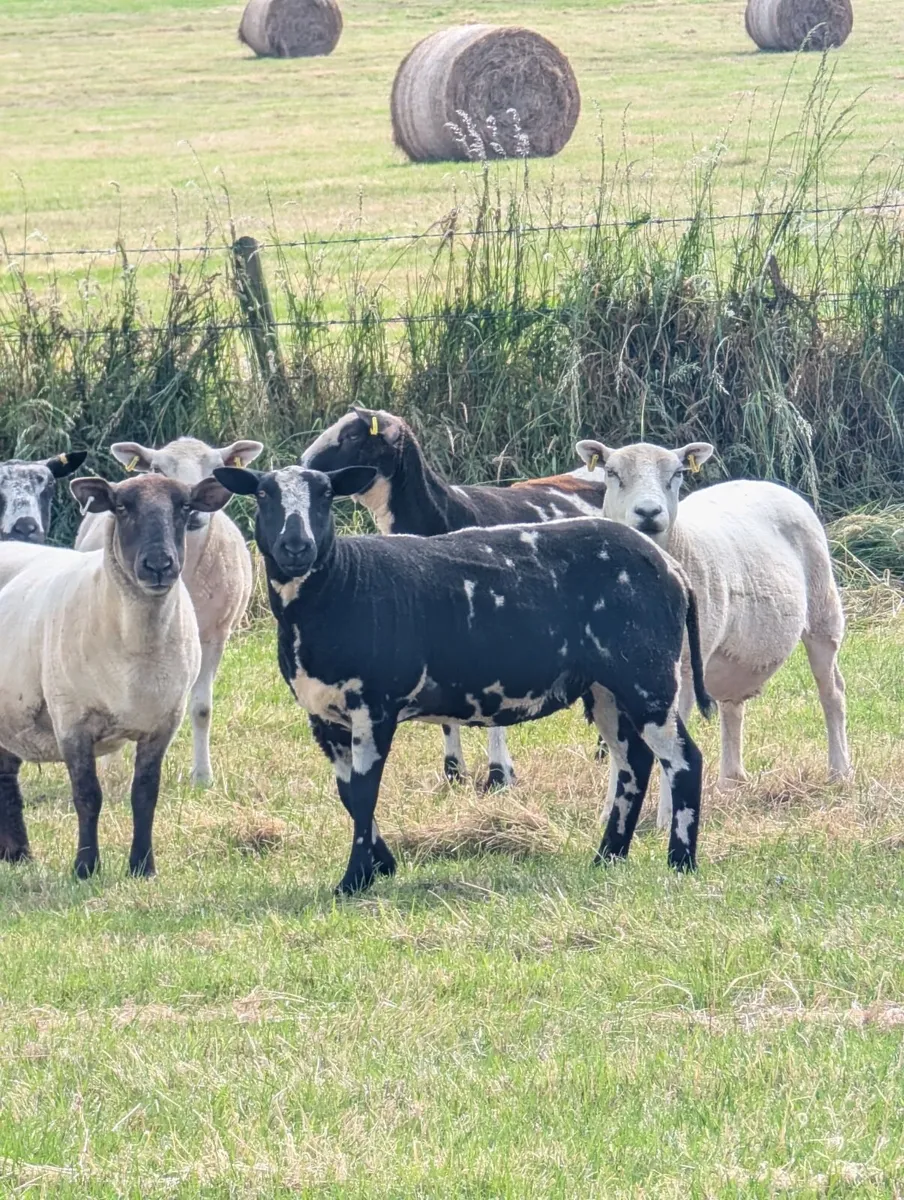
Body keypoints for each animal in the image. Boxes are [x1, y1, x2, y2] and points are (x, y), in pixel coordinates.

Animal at [0, 473, 231, 876]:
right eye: (122, 508)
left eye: (184, 507)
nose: (159, 564)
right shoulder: (71, 718)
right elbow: (87, 795)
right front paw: (85, 867)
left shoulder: (163, 723)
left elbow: (145, 794)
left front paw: (143, 866)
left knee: (5, 775)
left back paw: (17, 854)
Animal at [75, 437, 263, 785]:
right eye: (158, 469)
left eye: (215, 469)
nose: (193, 509)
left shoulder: (215, 636)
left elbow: (201, 709)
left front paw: (202, 777)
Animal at [213, 461, 711, 894]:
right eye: (263, 494)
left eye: (325, 495)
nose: (296, 547)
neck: (341, 584)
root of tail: (672, 570)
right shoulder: (323, 715)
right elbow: (349, 793)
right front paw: (381, 865)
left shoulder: (375, 705)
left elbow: (366, 790)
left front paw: (355, 880)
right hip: (605, 687)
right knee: (634, 764)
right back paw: (608, 856)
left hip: (646, 673)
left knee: (683, 760)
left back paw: (680, 861)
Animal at [575, 437, 851, 824]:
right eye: (612, 473)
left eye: (676, 474)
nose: (648, 512)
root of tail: (763, 483)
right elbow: (619, 744)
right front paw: (611, 813)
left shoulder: (686, 666)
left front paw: (666, 818)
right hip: (730, 654)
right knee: (732, 708)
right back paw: (731, 781)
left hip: (822, 612)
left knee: (832, 693)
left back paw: (839, 771)